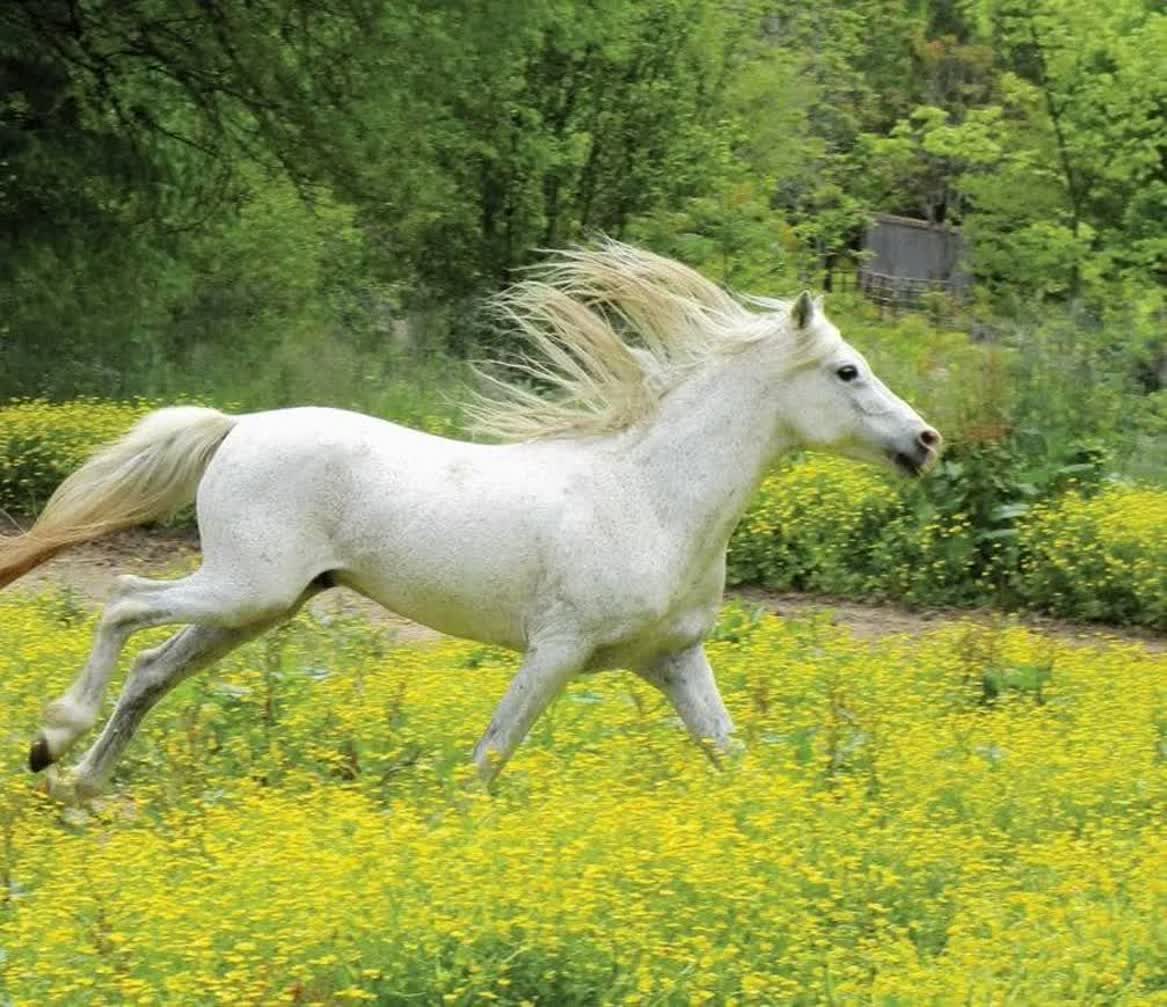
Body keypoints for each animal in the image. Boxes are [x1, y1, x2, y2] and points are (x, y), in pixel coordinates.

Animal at [0, 242, 940, 802]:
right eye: (848, 370)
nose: (925, 441)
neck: (652, 496)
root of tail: (238, 425)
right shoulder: (557, 649)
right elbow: (490, 755)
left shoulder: (672, 658)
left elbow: (729, 753)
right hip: (244, 585)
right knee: (124, 598)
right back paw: (53, 737)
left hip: (259, 606)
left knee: (152, 669)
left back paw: (77, 788)